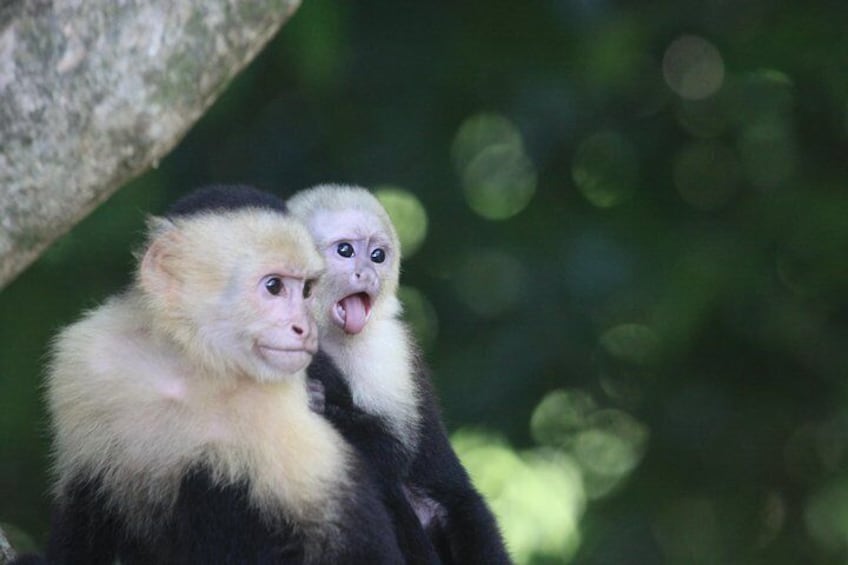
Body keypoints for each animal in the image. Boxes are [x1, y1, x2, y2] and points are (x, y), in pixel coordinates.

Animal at [288, 183, 510, 560]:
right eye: (346, 251)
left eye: (378, 256)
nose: (368, 274)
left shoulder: (385, 346)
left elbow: (390, 448)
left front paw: (318, 402)